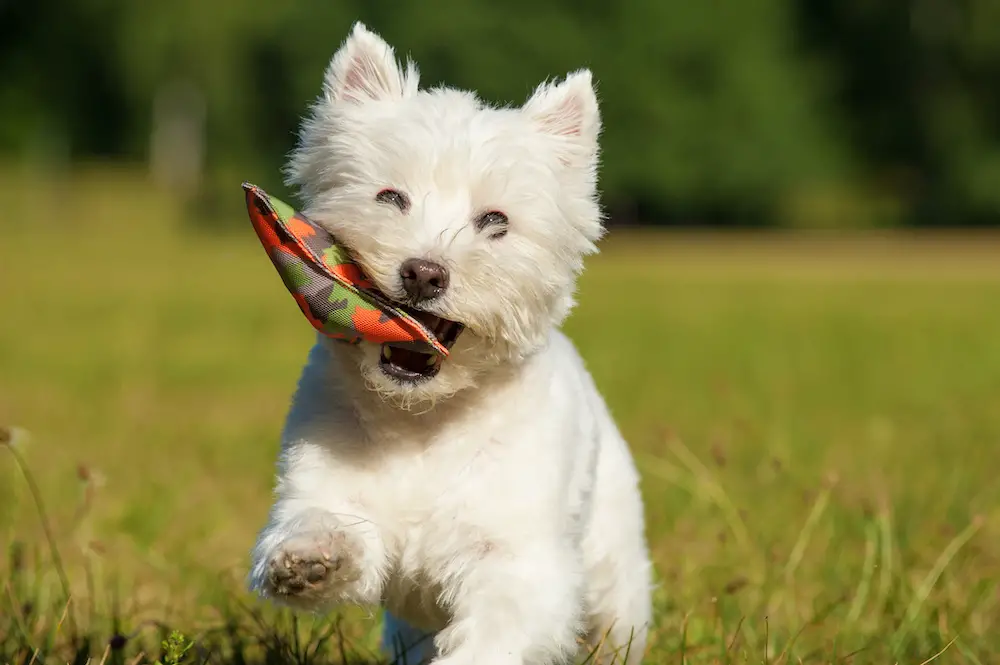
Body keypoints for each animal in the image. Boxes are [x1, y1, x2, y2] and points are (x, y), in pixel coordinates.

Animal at [248, 22, 656, 664]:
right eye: (390, 197)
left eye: (496, 221)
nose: (423, 273)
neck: (423, 420)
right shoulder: (326, 483)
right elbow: (327, 522)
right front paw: (310, 557)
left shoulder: (517, 556)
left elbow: (498, 630)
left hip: (615, 577)